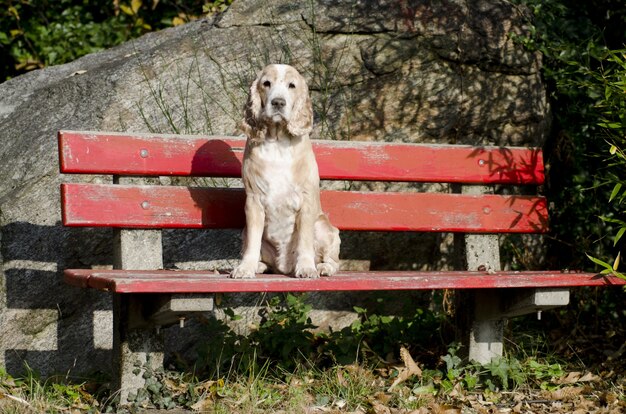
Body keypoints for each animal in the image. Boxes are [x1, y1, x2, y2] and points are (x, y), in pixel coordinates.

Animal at [229, 64, 338, 278]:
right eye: (266, 83)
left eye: (292, 85)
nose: (278, 102)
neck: (278, 140)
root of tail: (284, 267)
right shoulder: (254, 200)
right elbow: (253, 242)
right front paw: (245, 268)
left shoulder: (306, 200)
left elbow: (305, 240)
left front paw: (306, 268)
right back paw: (259, 265)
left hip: (324, 227)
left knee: (333, 260)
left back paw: (323, 267)